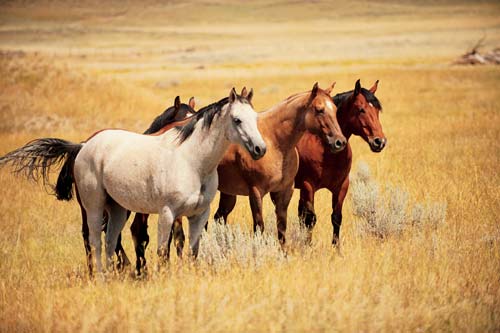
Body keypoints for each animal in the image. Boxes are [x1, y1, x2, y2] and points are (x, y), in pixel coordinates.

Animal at [0, 87, 266, 272]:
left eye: (255, 117)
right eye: (237, 120)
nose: (259, 149)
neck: (191, 161)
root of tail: (83, 146)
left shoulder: (199, 214)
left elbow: (191, 251)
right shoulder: (167, 213)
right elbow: (162, 251)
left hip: (117, 209)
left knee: (110, 242)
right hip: (93, 207)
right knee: (94, 241)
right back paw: (99, 277)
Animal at [296, 78, 386, 244]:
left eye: (377, 110)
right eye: (361, 109)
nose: (379, 141)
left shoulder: (341, 186)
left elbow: (336, 218)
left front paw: (336, 248)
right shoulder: (308, 186)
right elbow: (310, 219)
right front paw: (308, 246)